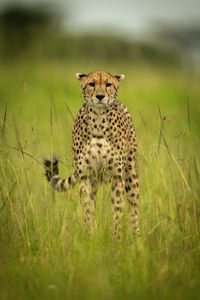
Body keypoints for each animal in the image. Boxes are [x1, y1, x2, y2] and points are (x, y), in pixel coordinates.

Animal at [44, 71, 140, 238]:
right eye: (91, 84)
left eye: (108, 84)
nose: (100, 96)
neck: (99, 119)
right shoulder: (85, 176)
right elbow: (88, 209)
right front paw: (89, 236)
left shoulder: (117, 176)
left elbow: (118, 210)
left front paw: (117, 239)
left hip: (130, 172)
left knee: (134, 208)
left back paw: (137, 238)